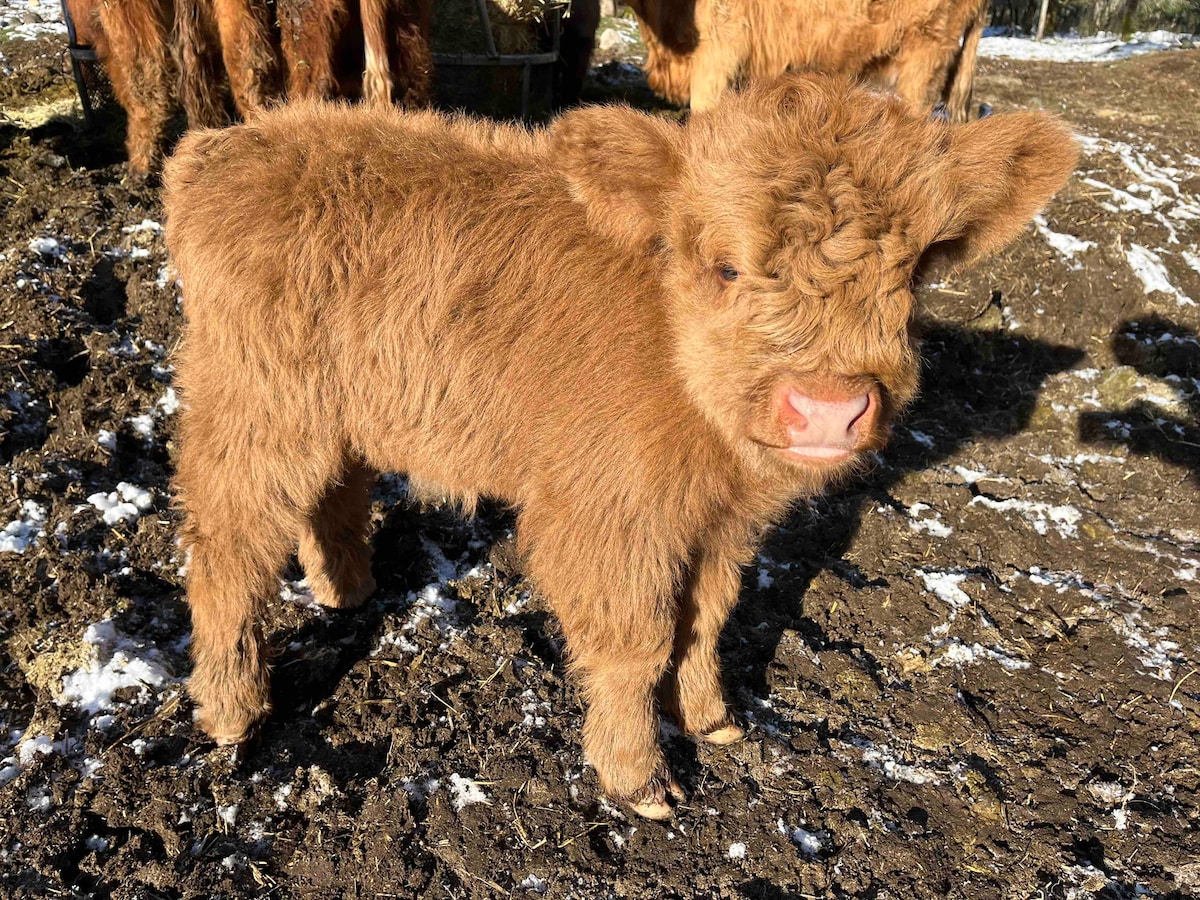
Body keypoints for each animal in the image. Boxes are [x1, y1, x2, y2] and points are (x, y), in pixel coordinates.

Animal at [162, 79, 1080, 825]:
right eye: (725, 266)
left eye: (918, 269)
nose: (828, 411)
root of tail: (228, 144)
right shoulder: (608, 516)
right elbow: (638, 640)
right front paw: (638, 778)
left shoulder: (721, 525)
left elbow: (706, 620)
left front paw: (711, 718)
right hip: (253, 409)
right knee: (227, 550)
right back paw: (232, 710)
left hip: (332, 410)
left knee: (334, 492)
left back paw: (346, 590)